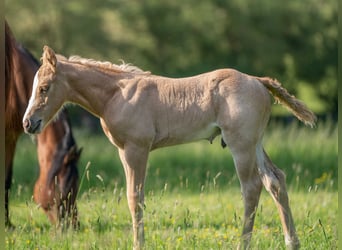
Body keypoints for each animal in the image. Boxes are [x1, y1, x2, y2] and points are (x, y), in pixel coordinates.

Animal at [22, 46, 316, 249]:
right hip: (255, 143)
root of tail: (258, 80)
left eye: (44, 88)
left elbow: (134, 198)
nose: (28, 123)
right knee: (275, 180)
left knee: (252, 188)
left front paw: (138, 245)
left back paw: (243, 244)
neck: (117, 94)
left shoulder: (136, 149)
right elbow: (134, 198)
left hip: (241, 145)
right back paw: (292, 242)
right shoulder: (124, 151)